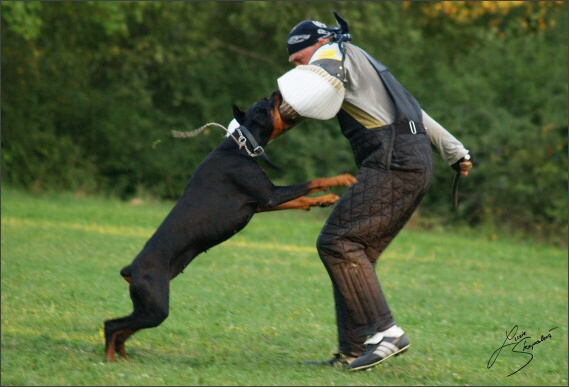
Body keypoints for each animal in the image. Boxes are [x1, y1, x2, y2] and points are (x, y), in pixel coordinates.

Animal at [103, 89, 352, 362]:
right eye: (267, 102)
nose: (276, 91)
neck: (240, 148)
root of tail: (131, 269)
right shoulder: (270, 195)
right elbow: (312, 181)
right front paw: (343, 178)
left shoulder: (262, 203)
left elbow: (301, 199)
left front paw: (325, 200)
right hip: (155, 307)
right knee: (111, 325)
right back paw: (110, 360)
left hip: (148, 307)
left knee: (123, 330)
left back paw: (123, 357)